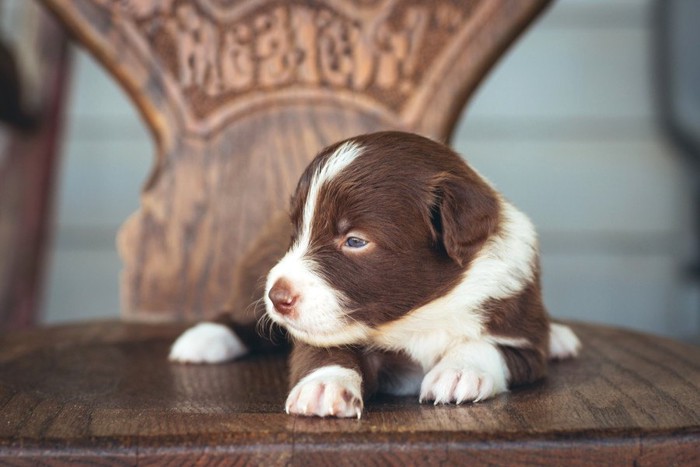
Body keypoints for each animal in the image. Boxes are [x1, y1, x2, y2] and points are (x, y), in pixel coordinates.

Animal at [170, 130, 580, 418]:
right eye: (296, 230)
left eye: (354, 241)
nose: (278, 297)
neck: (419, 316)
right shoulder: (321, 328)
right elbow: (325, 349)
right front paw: (325, 384)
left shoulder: (521, 329)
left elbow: (490, 345)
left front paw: (460, 370)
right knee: (240, 318)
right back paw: (204, 338)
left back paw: (560, 337)